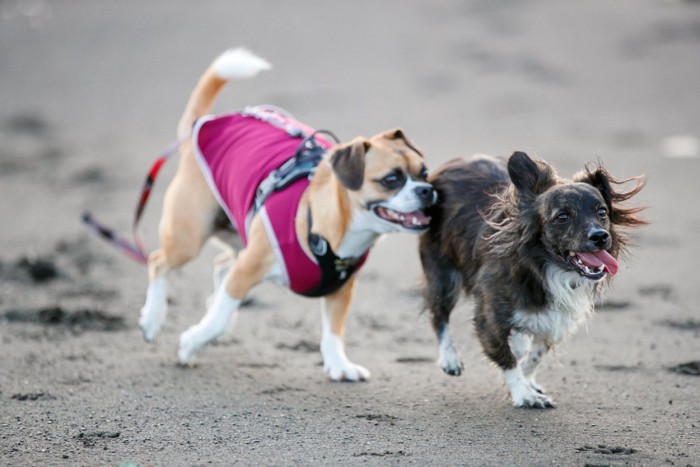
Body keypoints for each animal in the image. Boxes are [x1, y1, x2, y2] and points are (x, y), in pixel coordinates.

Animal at [137, 49, 434, 382]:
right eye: (391, 179)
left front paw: (339, 364)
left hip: (237, 233)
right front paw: (190, 345)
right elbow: (220, 312)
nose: (427, 191)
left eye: (425, 173)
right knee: (159, 262)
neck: (321, 227)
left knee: (220, 265)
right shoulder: (247, 270)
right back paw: (152, 319)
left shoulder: (341, 290)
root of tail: (203, 124)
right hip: (189, 237)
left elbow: (333, 332)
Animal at [418, 152, 644, 408]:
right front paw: (523, 394)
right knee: (439, 316)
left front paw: (526, 383)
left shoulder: (556, 319)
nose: (600, 236)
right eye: (562, 217)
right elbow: (506, 359)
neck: (544, 268)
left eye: (602, 212)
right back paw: (450, 359)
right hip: (444, 276)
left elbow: (534, 356)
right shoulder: (489, 317)